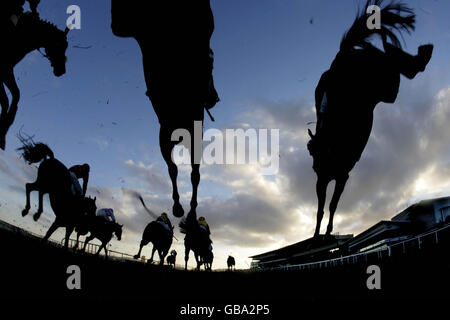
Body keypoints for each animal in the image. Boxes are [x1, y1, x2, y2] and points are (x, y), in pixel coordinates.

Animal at [0, 11, 69, 149]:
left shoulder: (5, 71)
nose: (61, 70)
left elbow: (14, 96)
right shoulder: (3, 71)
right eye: (58, 45)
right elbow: (6, 99)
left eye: (66, 47)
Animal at [112, 0, 218, 220]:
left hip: (189, 140)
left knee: (192, 174)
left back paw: (189, 210)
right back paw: (179, 207)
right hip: (167, 140)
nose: (212, 97)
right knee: (174, 169)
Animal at [310, 0, 432, 238]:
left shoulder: (340, 176)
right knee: (394, 62)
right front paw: (320, 235)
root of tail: (341, 58)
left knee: (393, 61)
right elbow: (323, 207)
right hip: (384, 87)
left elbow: (330, 205)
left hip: (384, 86)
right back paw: (416, 51)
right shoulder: (326, 178)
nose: (315, 162)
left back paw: (415, 50)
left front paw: (325, 233)